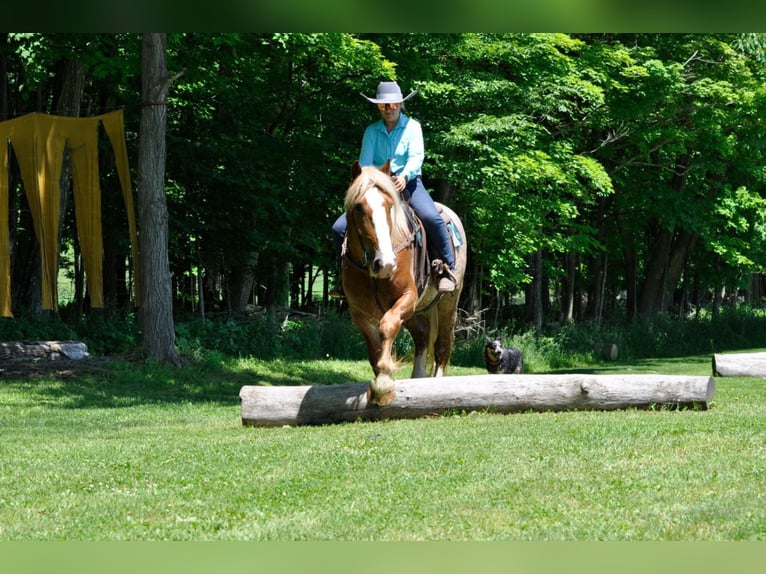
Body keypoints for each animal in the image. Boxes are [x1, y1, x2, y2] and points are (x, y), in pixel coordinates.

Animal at [342, 160, 468, 408]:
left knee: (442, 344)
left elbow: (388, 326)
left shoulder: (407, 297)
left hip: (448, 303)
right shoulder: (359, 312)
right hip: (416, 311)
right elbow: (374, 348)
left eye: (389, 205)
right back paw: (418, 378)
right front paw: (380, 381)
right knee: (422, 335)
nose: (386, 264)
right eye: (358, 207)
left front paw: (383, 384)